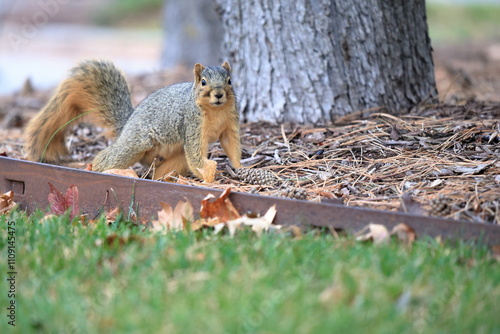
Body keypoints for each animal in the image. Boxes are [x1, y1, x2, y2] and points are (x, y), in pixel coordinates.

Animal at [24, 58, 241, 181]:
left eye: (230, 81)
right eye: (203, 82)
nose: (219, 94)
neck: (216, 110)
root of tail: (127, 123)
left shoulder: (230, 124)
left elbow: (231, 146)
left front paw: (240, 168)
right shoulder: (192, 125)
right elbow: (196, 155)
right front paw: (208, 177)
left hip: (177, 157)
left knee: (164, 170)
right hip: (136, 143)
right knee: (111, 156)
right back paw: (96, 168)